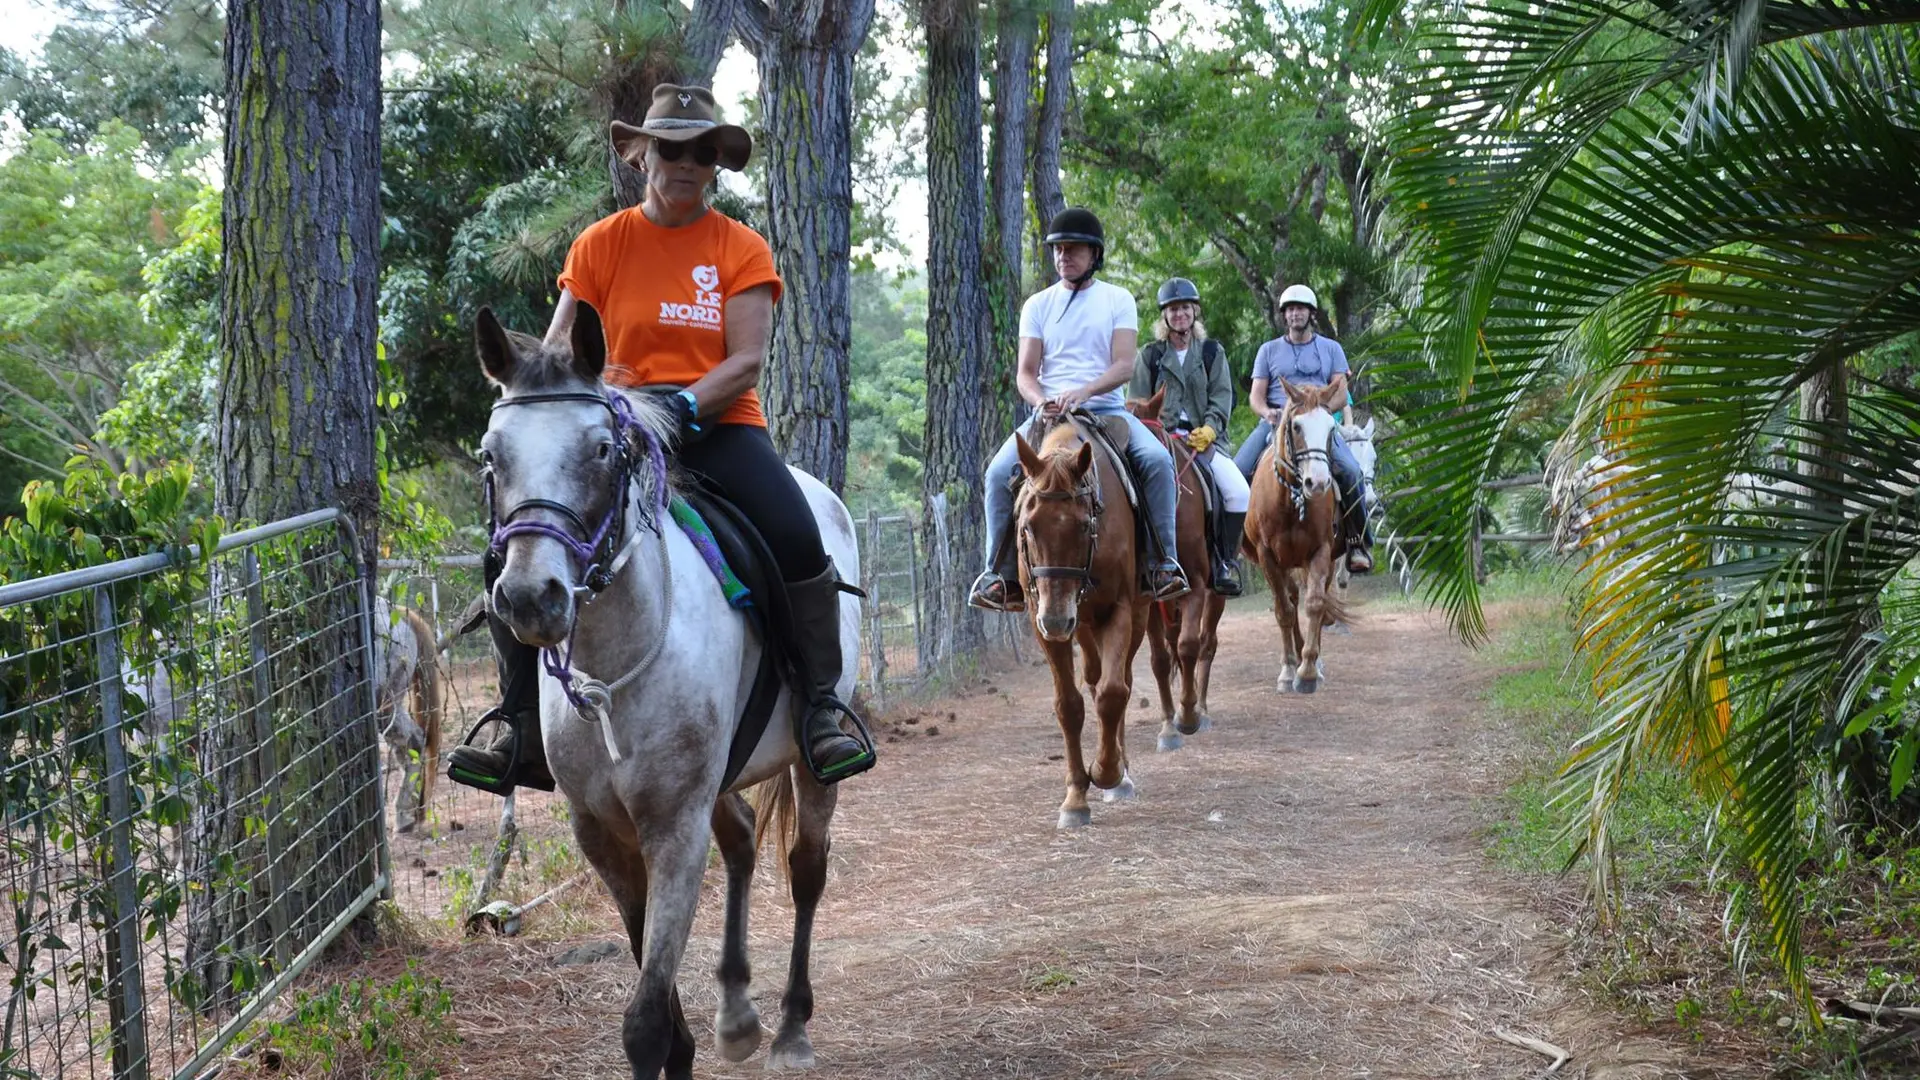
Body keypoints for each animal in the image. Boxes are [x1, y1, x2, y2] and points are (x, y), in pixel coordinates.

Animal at [472, 303, 856, 1076]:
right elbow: (652, 974)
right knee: (740, 842)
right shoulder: (602, 833)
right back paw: (737, 1014)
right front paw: (693, 1039)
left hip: (807, 770)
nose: (530, 598)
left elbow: (646, 1021)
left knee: (805, 867)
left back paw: (792, 1028)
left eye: (600, 449)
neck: (610, 674)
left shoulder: (674, 827)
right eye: (491, 456)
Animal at [1013, 411, 1144, 822]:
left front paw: (1107, 772)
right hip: (1081, 626)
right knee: (1092, 677)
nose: (1057, 621)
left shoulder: (1119, 610)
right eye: (1027, 526)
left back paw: (1122, 773)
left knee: (1119, 681)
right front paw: (1075, 797)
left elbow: (1113, 693)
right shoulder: (1041, 621)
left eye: (1084, 525)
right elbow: (1069, 705)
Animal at [1121, 386, 1228, 749]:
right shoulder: (1152, 599)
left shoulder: (1195, 585)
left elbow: (1189, 645)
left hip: (1215, 594)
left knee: (1206, 643)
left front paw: (1189, 716)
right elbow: (1161, 658)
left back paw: (1203, 710)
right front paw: (1169, 726)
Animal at [1244, 378, 1351, 691]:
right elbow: (1284, 611)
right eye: (1296, 427)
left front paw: (1308, 672)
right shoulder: (1267, 557)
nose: (1318, 483)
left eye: (1331, 428)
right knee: (1290, 601)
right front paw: (1289, 669)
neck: (1290, 501)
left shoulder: (1321, 552)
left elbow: (1315, 604)